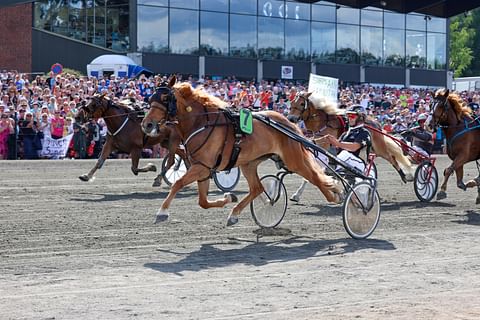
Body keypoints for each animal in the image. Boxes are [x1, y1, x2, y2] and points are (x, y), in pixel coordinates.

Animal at [141, 76, 344, 225]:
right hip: (249, 163)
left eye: (165, 99)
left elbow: (178, 183)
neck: (202, 122)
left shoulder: (201, 167)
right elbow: (203, 202)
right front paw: (228, 198)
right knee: (257, 188)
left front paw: (162, 212)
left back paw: (335, 195)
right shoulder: (203, 168)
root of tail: (289, 124)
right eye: (150, 99)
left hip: (293, 160)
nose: (146, 124)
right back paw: (235, 213)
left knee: (315, 177)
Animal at [286, 91, 418, 188]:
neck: (324, 122)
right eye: (291, 102)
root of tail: (375, 123)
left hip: (379, 148)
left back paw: (405, 176)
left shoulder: (324, 146)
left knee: (392, 158)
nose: (290, 118)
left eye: (302, 103)